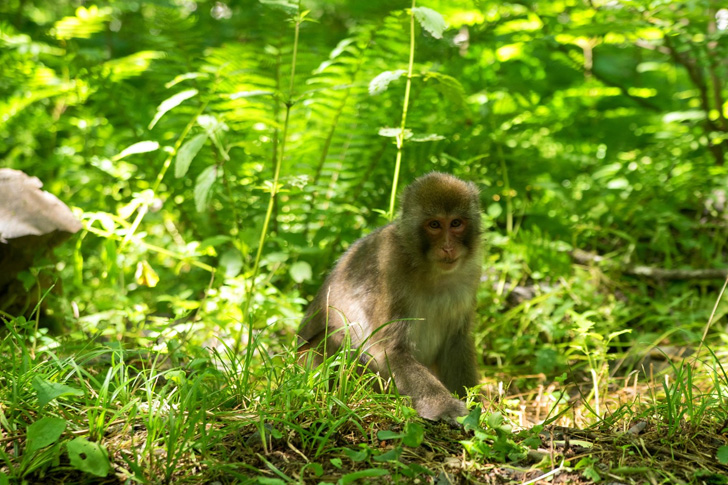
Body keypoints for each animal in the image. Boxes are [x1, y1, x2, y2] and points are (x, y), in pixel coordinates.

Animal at [298, 172, 480, 422]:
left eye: (456, 223)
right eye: (434, 225)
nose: (448, 247)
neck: (430, 270)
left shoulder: (469, 277)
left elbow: (456, 342)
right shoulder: (391, 264)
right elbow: (391, 349)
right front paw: (445, 407)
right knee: (338, 338)